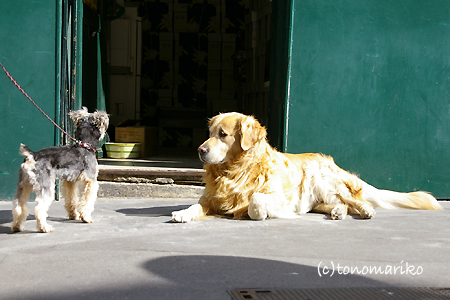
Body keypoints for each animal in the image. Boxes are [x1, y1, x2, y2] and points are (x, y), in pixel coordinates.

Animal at [171, 111, 440, 221]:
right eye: (210, 133)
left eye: (223, 135)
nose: (200, 150)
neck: (235, 171)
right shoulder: (209, 200)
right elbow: (195, 206)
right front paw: (183, 213)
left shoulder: (278, 197)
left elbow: (256, 201)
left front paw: (257, 213)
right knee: (338, 204)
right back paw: (338, 212)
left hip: (323, 179)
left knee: (356, 199)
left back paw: (365, 210)